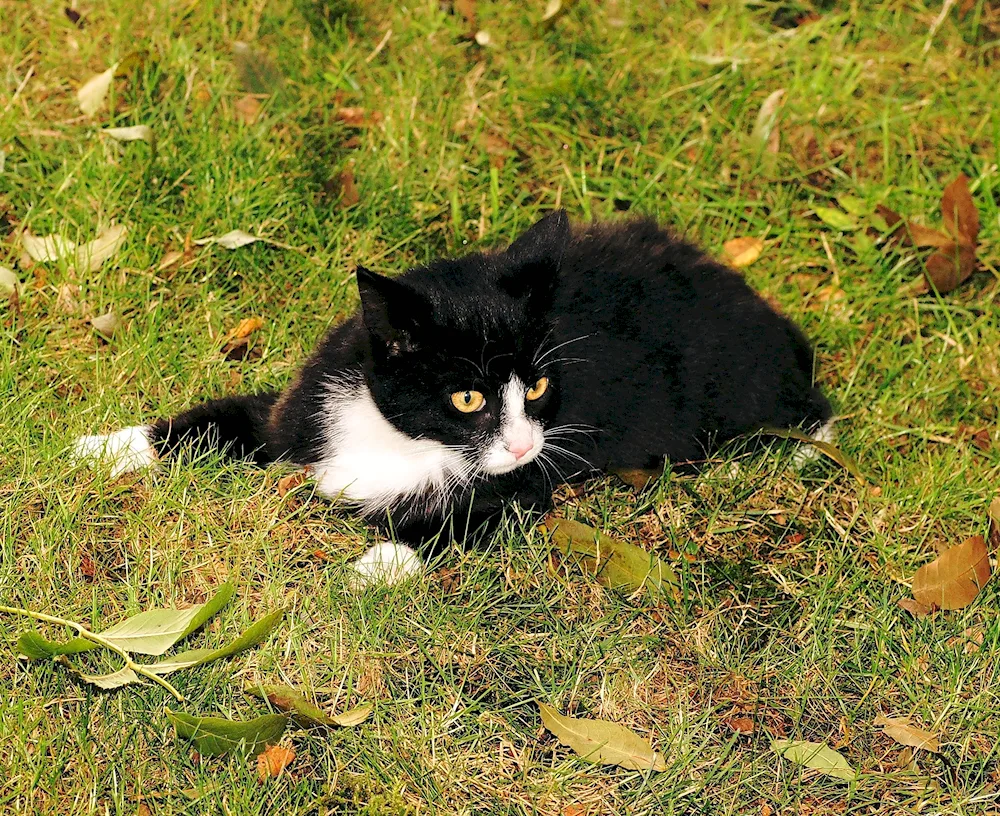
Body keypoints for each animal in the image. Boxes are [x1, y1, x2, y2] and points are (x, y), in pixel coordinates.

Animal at [74, 214, 832, 584]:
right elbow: (217, 419)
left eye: (539, 386)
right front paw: (102, 447)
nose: (524, 443)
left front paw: (365, 571)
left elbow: (448, 526)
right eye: (468, 397)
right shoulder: (301, 408)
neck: (403, 438)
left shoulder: (523, 491)